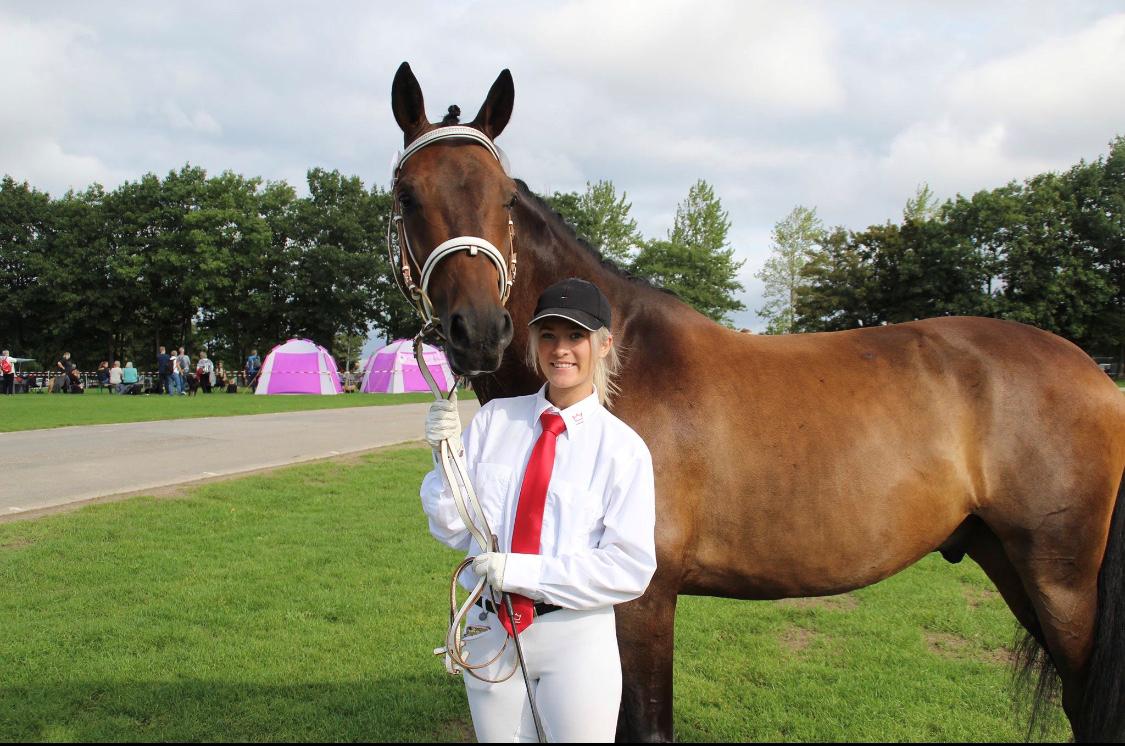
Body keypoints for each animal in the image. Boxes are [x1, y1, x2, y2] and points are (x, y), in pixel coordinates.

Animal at [389, 62, 1125, 742]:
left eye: (504, 198)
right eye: (406, 195)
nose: (479, 330)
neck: (616, 369)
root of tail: (1094, 374)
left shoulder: (642, 599)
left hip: (1061, 583)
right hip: (1008, 562)